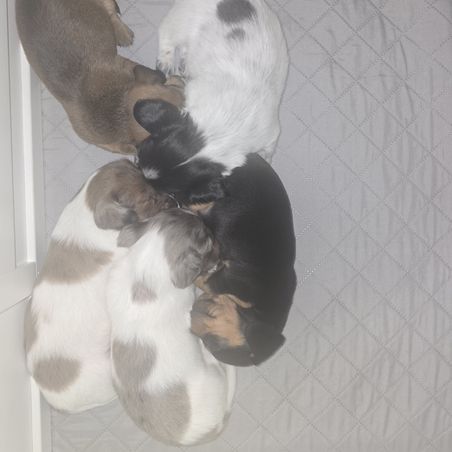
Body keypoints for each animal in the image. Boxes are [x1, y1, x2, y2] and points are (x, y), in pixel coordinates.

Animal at [133, 0, 288, 203]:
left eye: (170, 192)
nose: (134, 160)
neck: (221, 128)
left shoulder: (269, 134)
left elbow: (268, 150)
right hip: (179, 21)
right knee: (167, 37)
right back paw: (167, 62)